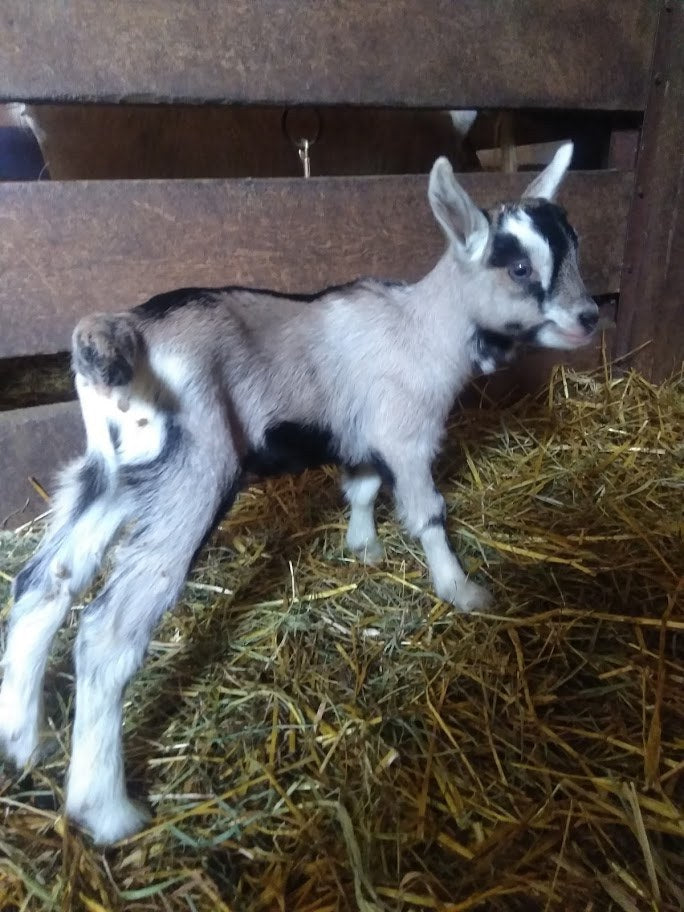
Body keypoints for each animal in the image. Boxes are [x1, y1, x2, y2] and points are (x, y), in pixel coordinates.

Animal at [0, 143, 598, 844]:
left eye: (574, 248)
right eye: (520, 266)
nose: (589, 317)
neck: (423, 325)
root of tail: (118, 335)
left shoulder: (362, 435)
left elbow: (362, 486)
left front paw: (363, 548)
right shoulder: (408, 432)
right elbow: (426, 514)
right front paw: (462, 590)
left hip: (111, 474)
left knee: (43, 581)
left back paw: (21, 740)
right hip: (192, 472)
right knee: (106, 634)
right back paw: (108, 810)